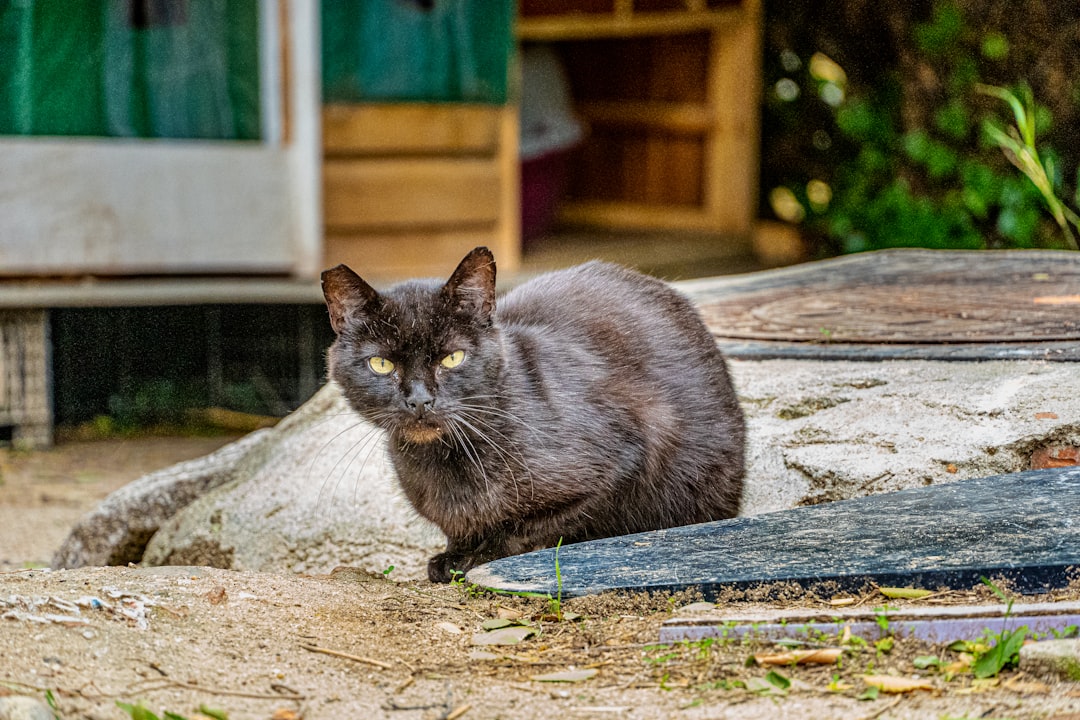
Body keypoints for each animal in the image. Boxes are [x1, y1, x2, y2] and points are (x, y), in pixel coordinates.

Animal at [319, 248, 743, 587]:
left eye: (452, 358)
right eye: (381, 364)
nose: (420, 401)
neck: (447, 460)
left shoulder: (628, 456)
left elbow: (530, 529)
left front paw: (472, 558)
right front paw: (454, 553)